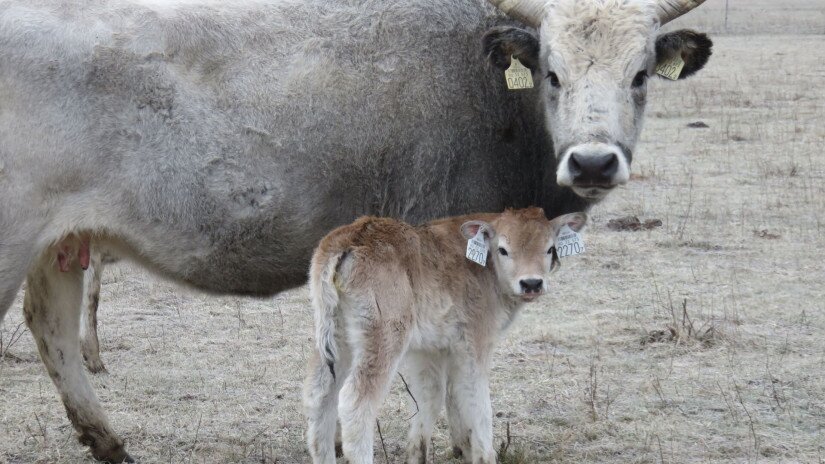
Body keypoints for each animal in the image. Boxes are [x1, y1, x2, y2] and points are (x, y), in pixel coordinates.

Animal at [0, 0, 708, 460]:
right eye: (551, 72)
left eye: (640, 74)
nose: (592, 161)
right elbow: (447, 396)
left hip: (59, 247)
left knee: (53, 329)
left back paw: (109, 443)